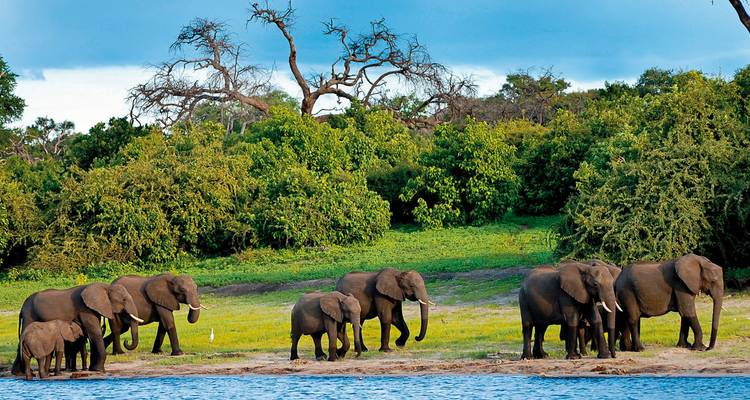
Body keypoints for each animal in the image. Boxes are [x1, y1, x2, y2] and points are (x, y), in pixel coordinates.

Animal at [11, 283, 143, 374]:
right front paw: (99, 370)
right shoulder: (85, 309)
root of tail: (22, 308)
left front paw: (93, 369)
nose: (126, 342)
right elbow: (95, 333)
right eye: (124, 300)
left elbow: (92, 335)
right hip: (29, 316)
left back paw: (18, 373)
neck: (105, 287)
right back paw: (19, 373)